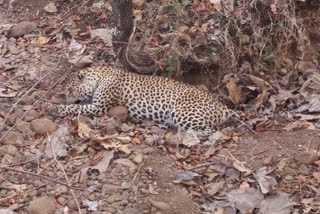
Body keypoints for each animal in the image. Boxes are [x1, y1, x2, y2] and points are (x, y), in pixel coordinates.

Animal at [48, 65, 241, 139]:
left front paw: (55, 108)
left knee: (209, 131)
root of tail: (221, 106)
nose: (65, 96)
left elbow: (75, 108)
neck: (100, 75)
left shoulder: (98, 107)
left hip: (182, 112)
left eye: (70, 90)